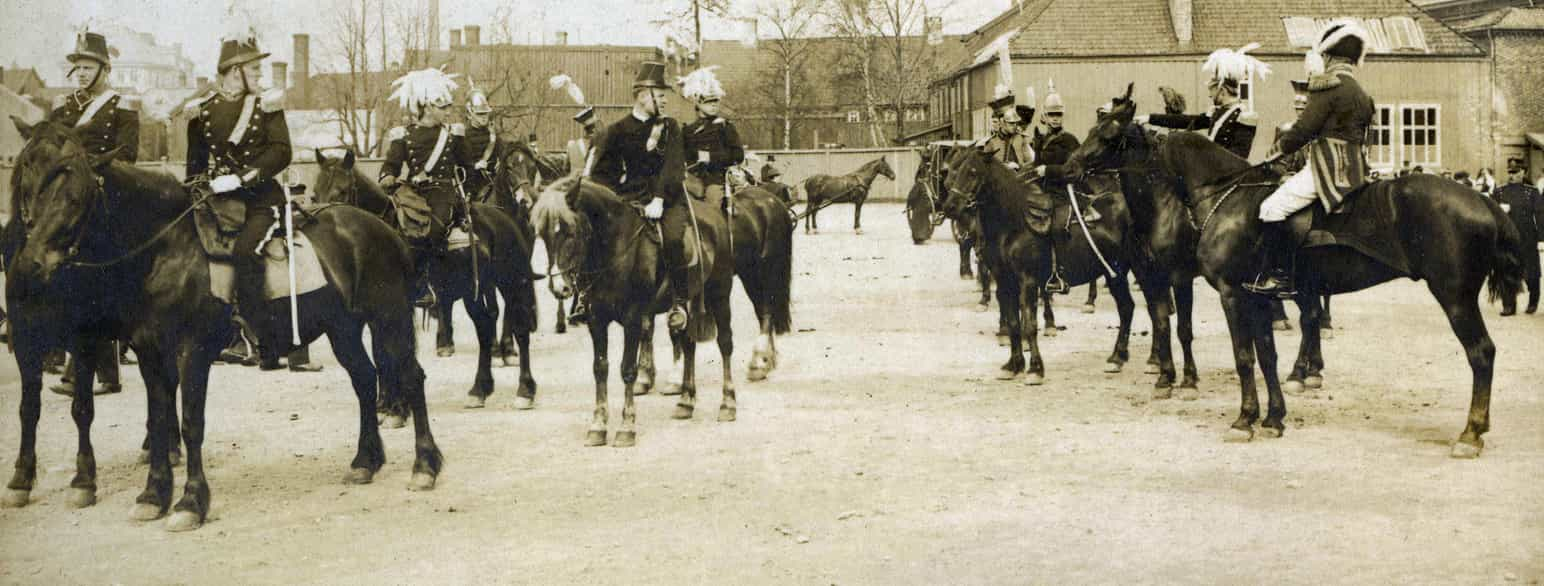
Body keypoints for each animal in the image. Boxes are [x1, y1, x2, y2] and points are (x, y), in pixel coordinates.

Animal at [6, 120, 441, 530]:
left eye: (76, 198)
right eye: (32, 188)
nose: (30, 263)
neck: (167, 250)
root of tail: (384, 229)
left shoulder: (192, 351)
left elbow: (190, 422)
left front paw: (190, 502)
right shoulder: (150, 352)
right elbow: (160, 419)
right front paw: (153, 495)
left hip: (389, 318)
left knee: (411, 376)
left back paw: (425, 465)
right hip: (343, 329)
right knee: (365, 379)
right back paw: (366, 461)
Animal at [310, 148, 540, 410]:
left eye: (341, 191)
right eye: (314, 193)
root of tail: (504, 216)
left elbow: (388, 352)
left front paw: (394, 404)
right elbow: (380, 353)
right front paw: (385, 402)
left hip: (512, 281)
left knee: (520, 327)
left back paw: (525, 390)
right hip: (473, 290)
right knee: (484, 326)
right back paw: (479, 389)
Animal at [534, 176, 738, 447]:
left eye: (570, 231)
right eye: (543, 235)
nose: (560, 288)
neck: (615, 248)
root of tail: (715, 215)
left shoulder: (632, 319)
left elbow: (627, 370)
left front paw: (626, 426)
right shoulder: (596, 320)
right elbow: (600, 368)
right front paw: (598, 425)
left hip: (720, 294)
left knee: (725, 343)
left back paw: (728, 403)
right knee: (688, 344)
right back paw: (685, 401)